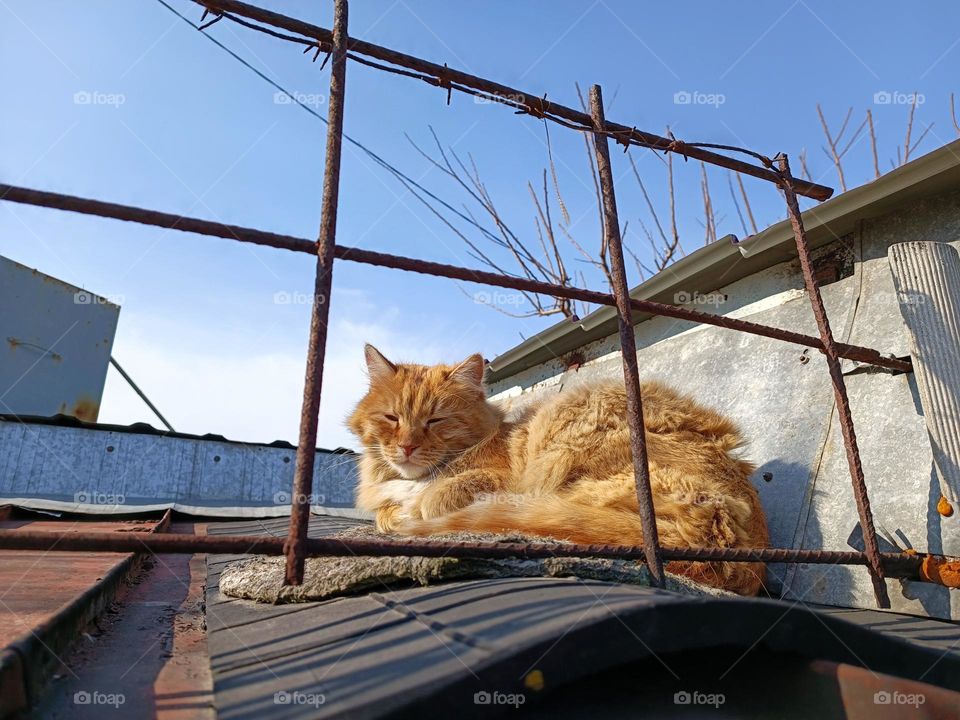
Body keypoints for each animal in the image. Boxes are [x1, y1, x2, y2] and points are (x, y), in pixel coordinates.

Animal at [348, 346, 768, 592]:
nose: (407, 447)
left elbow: (437, 497)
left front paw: (418, 508)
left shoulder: (497, 477)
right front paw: (394, 513)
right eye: (391, 418)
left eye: (436, 420)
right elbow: (387, 510)